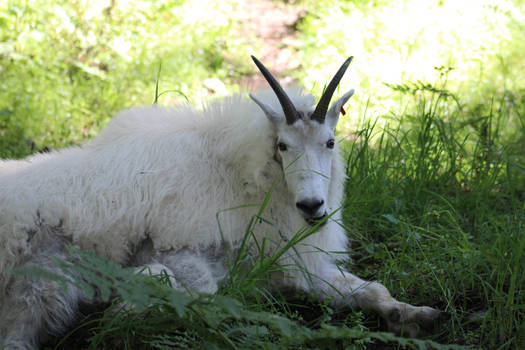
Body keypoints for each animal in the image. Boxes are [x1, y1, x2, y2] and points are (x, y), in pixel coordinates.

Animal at [0, 56, 442, 348]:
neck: (239, 178)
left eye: (330, 143)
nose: (312, 206)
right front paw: (127, 307)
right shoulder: (176, 247)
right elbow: (204, 292)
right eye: (282, 145)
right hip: (40, 282)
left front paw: (415, 317)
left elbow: (371, 290)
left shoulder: (287, 263)